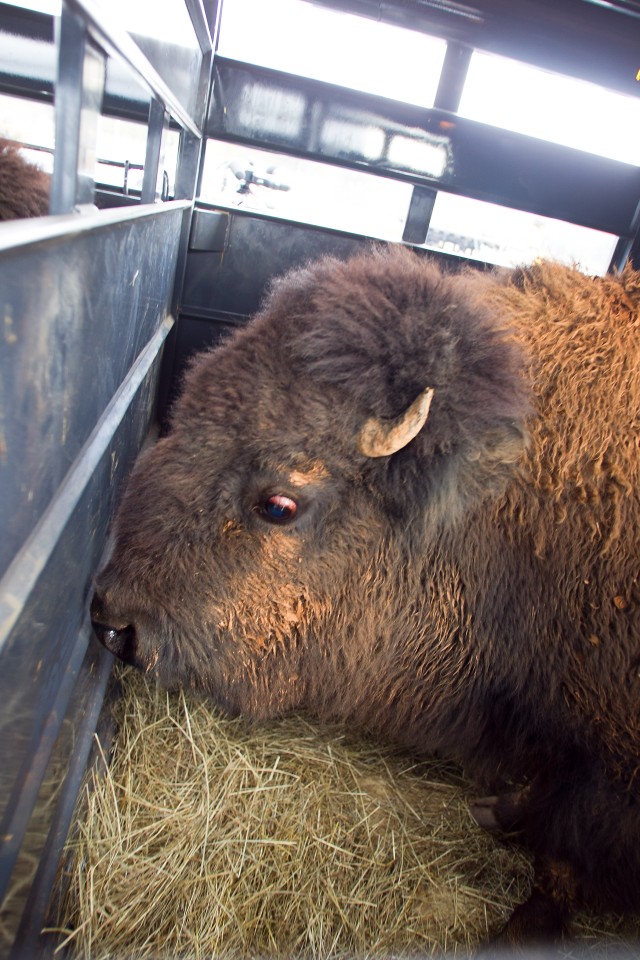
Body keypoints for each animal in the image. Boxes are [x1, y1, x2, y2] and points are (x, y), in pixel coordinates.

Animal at [91, 249, 640, 944]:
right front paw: (498, 811)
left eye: (280, 505)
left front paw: (519, 928)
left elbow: (561, 860)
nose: (114, 621)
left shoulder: (609, 779)